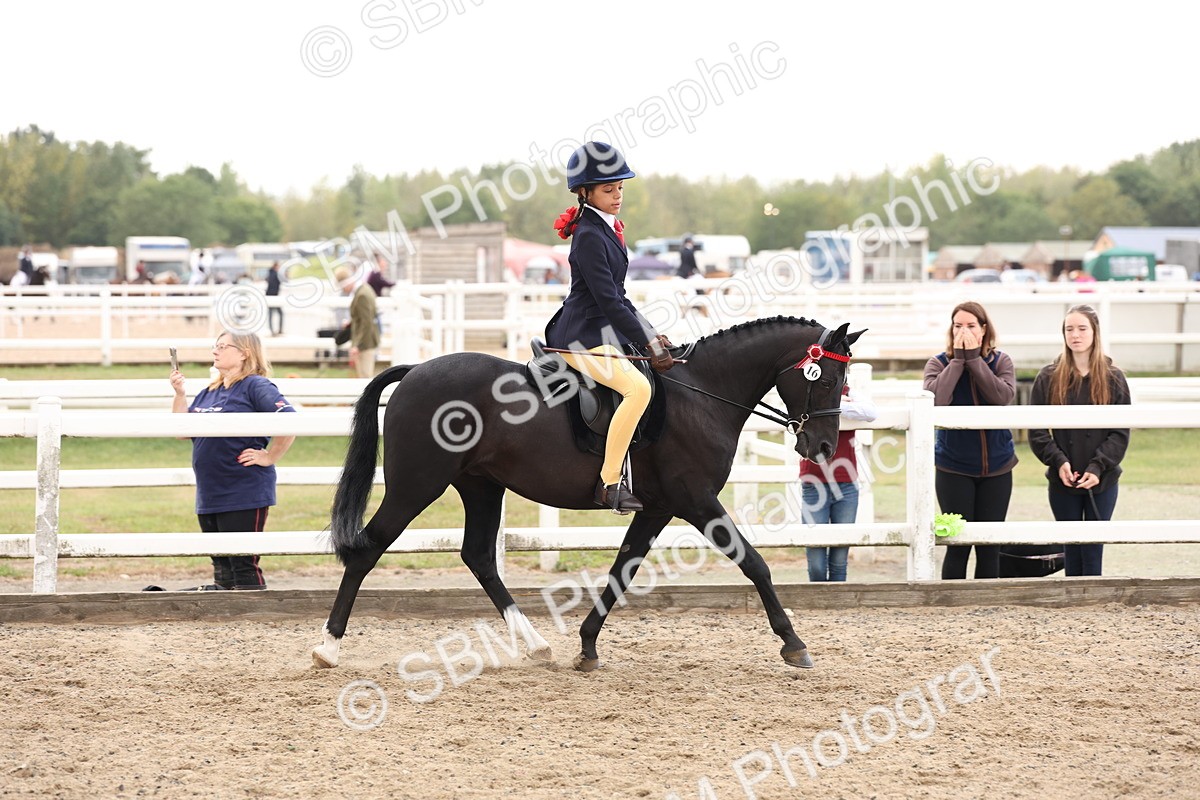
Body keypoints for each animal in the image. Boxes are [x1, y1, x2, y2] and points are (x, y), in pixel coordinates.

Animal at [312, 316, 864, 672]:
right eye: (828, 378)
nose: (821, 446)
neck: (702, 395)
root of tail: (414, 372)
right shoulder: (696, 500)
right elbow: (755, 563)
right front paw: (793, 644)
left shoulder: (657, 508)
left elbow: (622, 570)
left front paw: (587, 646)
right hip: (416, 485)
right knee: (366, 551)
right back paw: (328, 647)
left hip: (482, 486)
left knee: (479, 557)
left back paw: (536, 646)